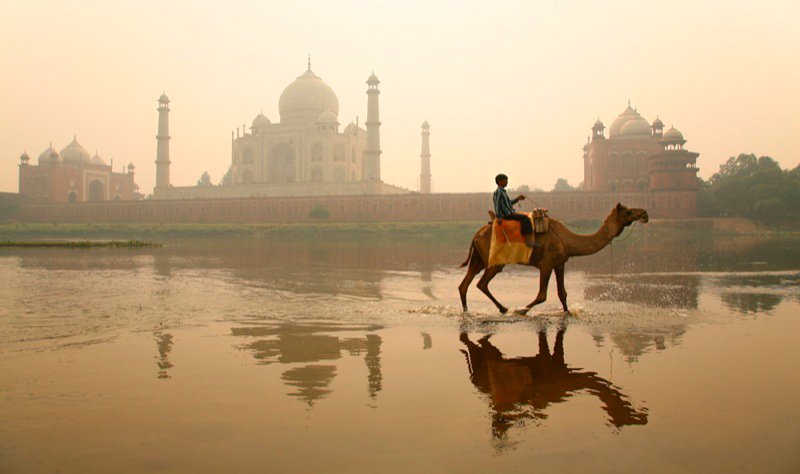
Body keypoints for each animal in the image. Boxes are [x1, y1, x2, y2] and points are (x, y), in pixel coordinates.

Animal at [460, 202, 648, 312]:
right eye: (629, 211)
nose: (645, 213)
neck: (567, 240)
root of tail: (476, 234)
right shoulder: (546, 263)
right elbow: (542, 295)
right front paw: (522, 310)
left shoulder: (560, 263)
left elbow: (562, 294)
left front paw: (568, 312)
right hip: (494, 260)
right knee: (481, 283)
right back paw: (504, 308)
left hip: (479, 257)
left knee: (465, 283)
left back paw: (467, 310)